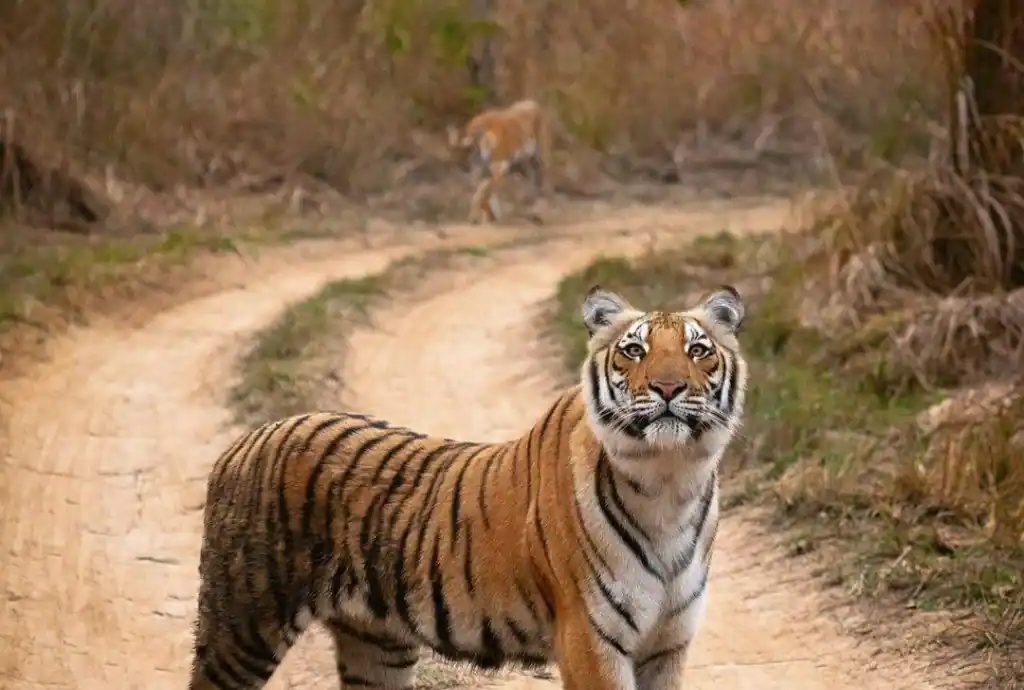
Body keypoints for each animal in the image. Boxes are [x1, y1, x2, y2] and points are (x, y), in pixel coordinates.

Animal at [186, 282, 745, 683]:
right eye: (633, 350)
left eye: (698, 351)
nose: (668, 387)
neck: (669, 480)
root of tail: (243, 442)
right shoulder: (591, 642)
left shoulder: (668, 644)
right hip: (243, 627)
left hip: (377, 646)